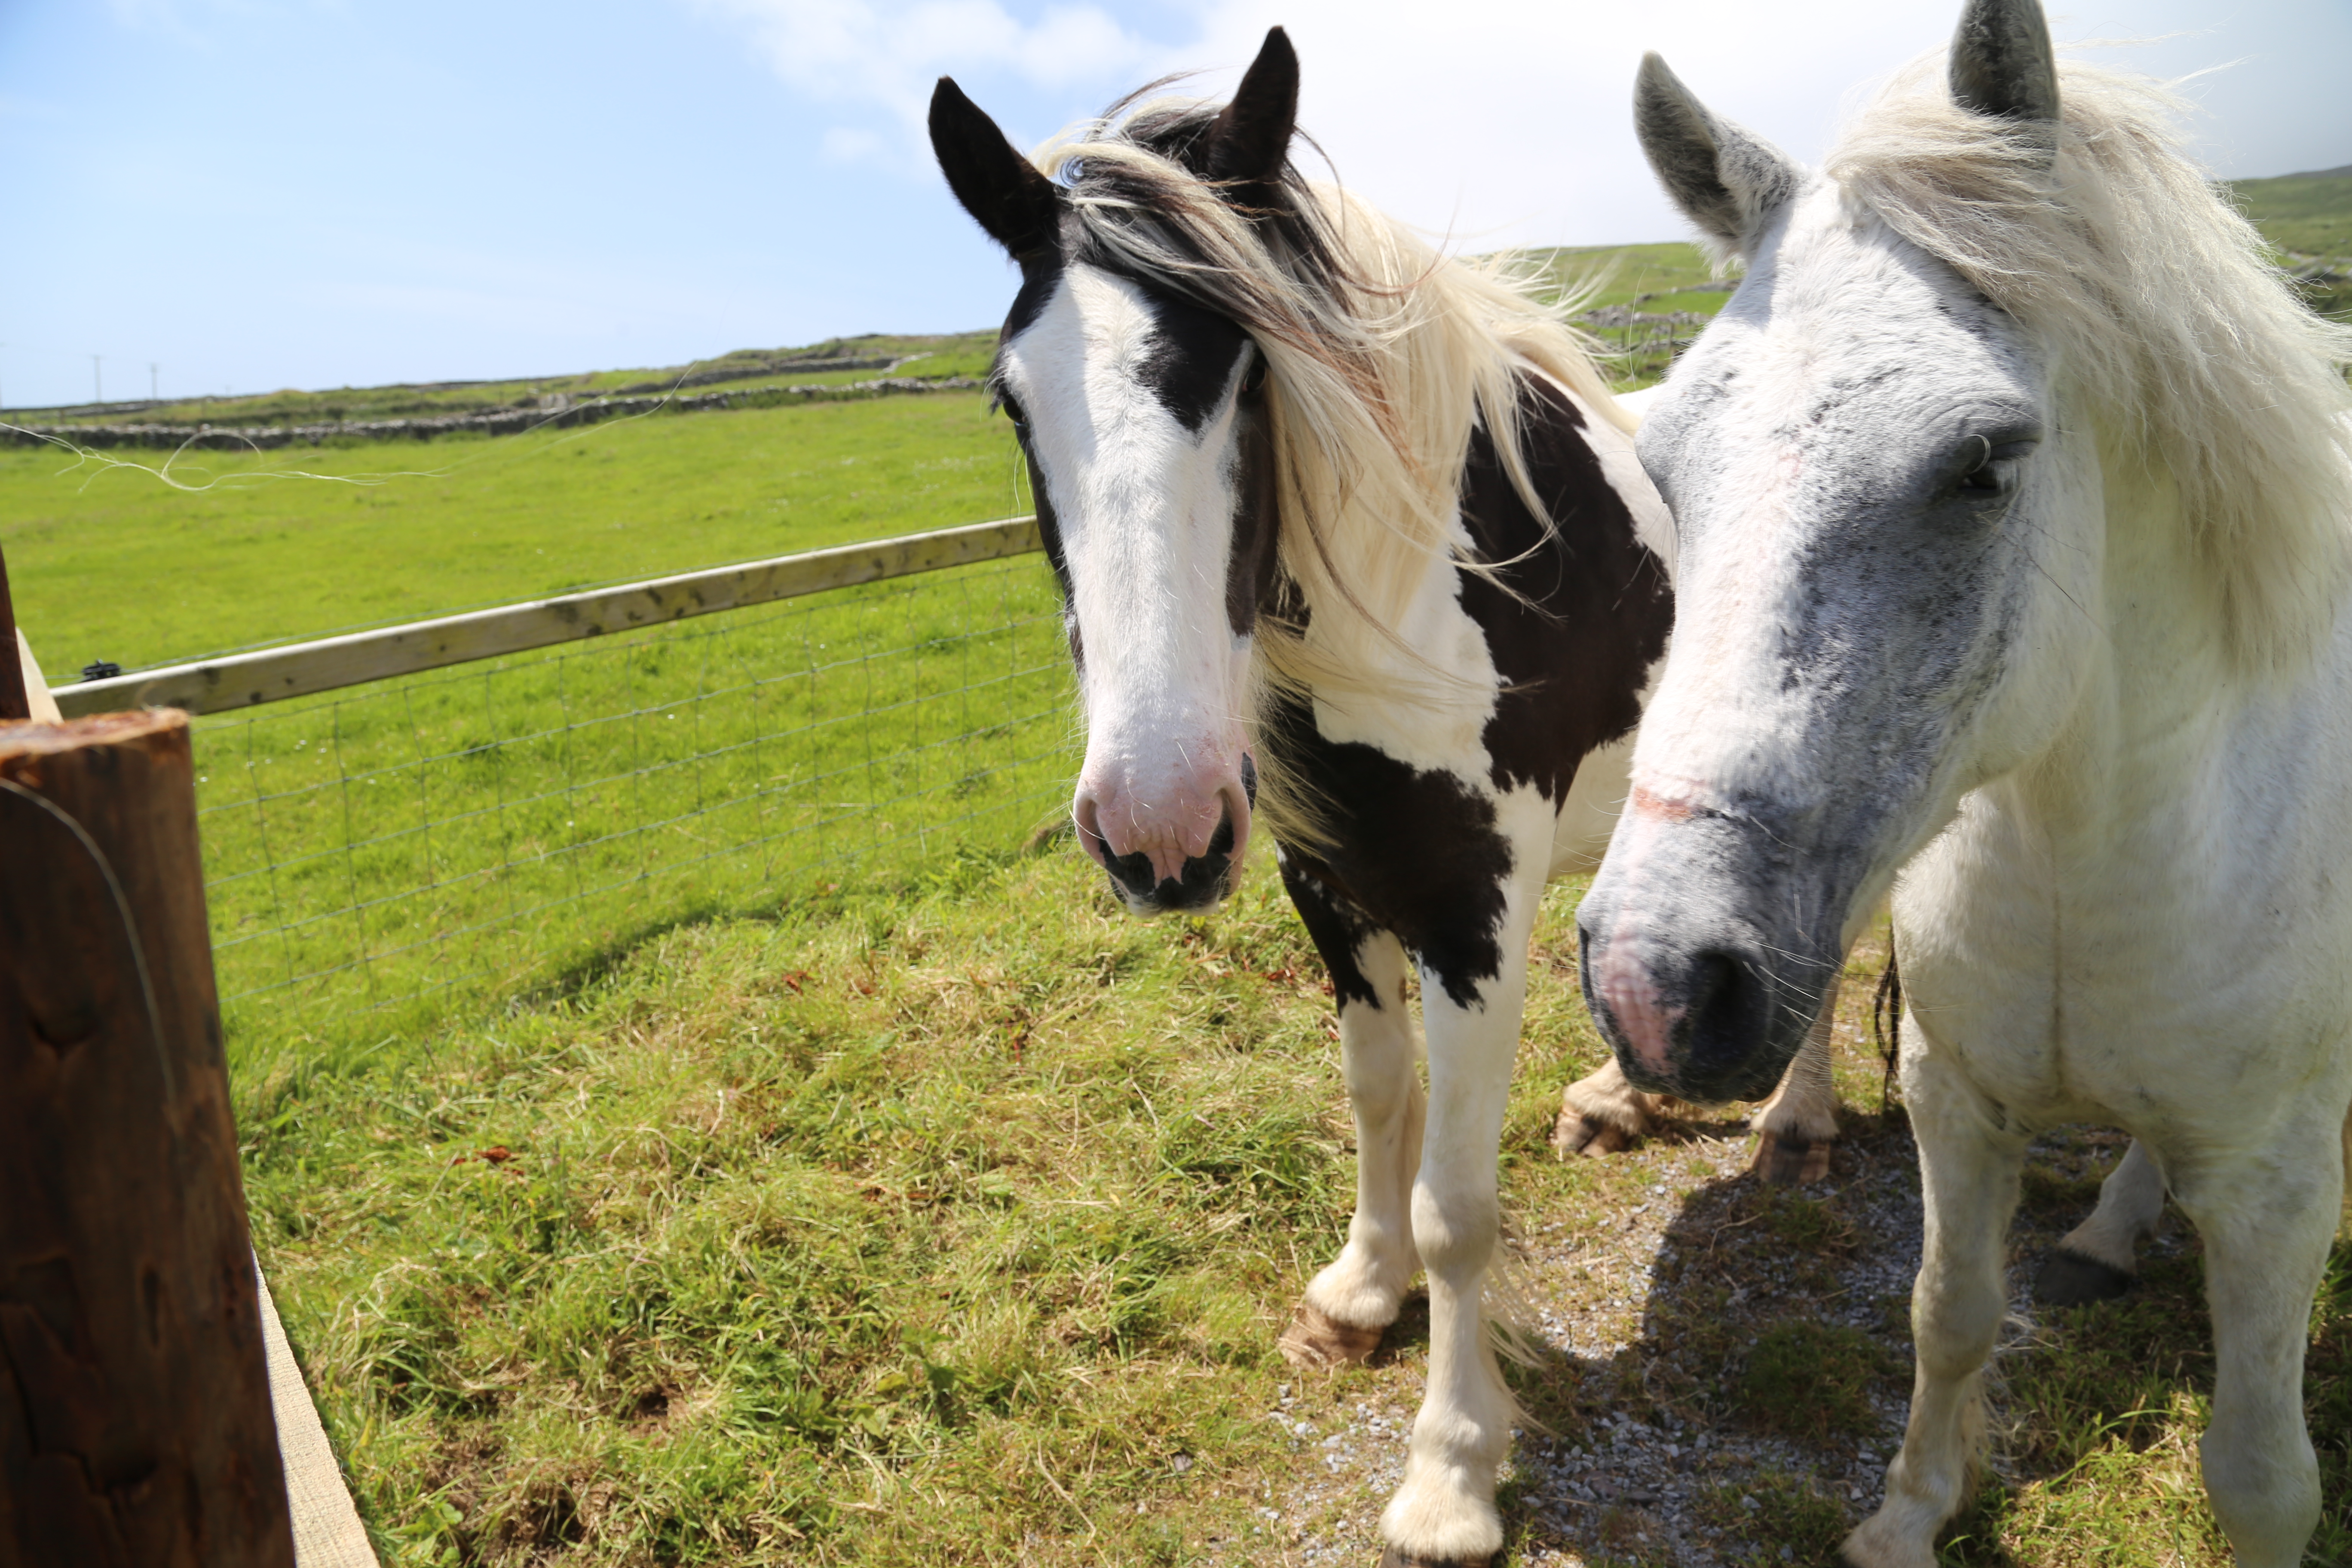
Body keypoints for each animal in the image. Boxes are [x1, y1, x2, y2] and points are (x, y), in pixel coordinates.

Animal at [931, 31, 1834, 1561]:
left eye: (1245, 369)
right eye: (1012, 395)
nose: (1155, 826)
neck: (1438, 591)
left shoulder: (1474, 918)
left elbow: (1459, 1204)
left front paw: (1450, 1473)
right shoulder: (1330, 886)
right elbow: (1374, 1098)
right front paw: (1358, 1294)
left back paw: (1797, 1122)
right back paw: (1622, 1098)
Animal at [1571, 3, 2343, 1568]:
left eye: (1983, 463)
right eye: (1662, 467)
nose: (1652, 985)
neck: (2077, 853)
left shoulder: (2280, 1182)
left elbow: (2259, 1473)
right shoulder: (1956, 1097)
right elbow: (1948, 1316)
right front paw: (1910, 1514)